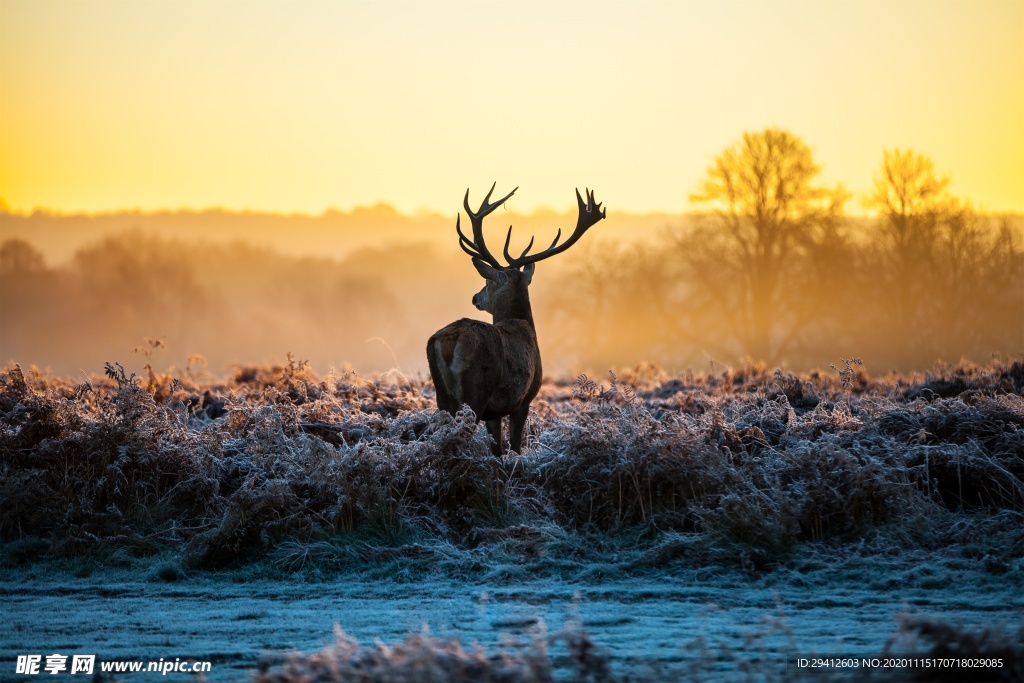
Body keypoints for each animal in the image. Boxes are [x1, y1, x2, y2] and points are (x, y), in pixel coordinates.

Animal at [425, 184, 602, 456]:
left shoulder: (495, 411)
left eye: (487, 282)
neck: (522, 323)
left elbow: (497, 448)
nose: (475, 297)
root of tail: (449, 339)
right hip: (475, 390)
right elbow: (515, 447)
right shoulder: (523, 398)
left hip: (442, 394)